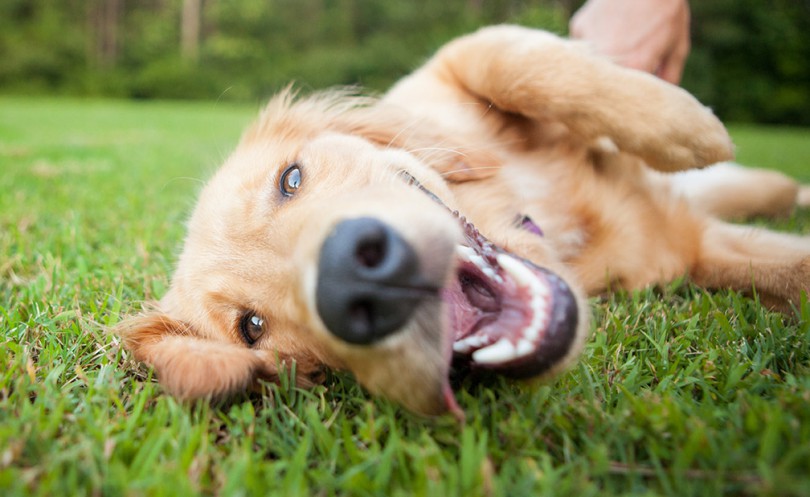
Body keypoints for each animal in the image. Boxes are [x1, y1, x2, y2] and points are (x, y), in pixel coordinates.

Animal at [115, 26, 808, 414]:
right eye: (252, 328)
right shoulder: (687, 249)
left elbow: (516, 59)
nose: (355, 279)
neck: (544, 225)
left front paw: (685, 126)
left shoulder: (450, 67)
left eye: (290, 179)